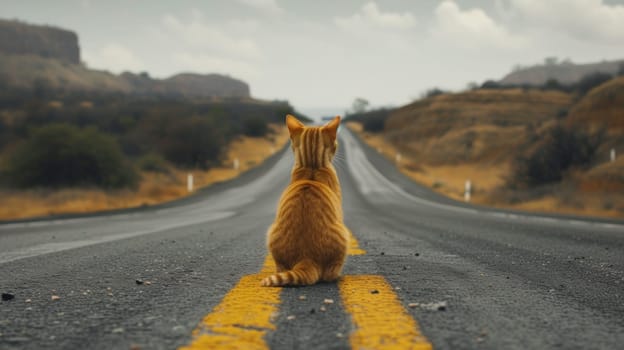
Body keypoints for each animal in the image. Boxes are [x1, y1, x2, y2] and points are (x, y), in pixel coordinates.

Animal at [260, 115, 352, 288]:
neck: (312, 168)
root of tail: (305, 258)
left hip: (271, 232)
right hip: (343, 234)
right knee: (329, 275)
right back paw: (337, 276)